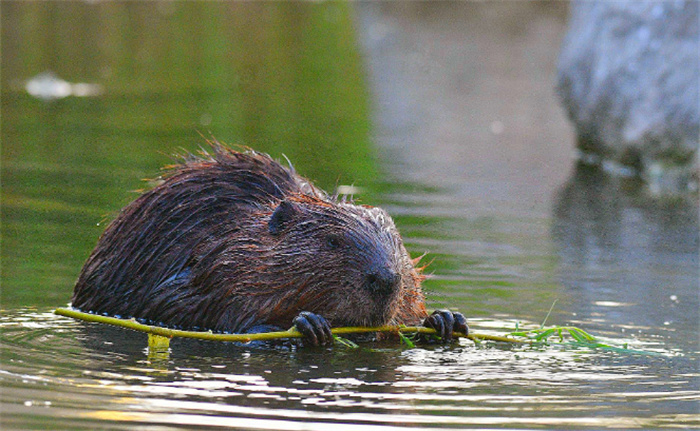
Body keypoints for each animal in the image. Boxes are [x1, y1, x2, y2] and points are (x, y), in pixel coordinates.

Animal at [71, 143, 468, 346]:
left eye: (396, 244)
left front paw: (445, 319)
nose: (385, 279)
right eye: (332, 241)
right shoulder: (204, 264)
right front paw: (307, 324)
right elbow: (184, 306)